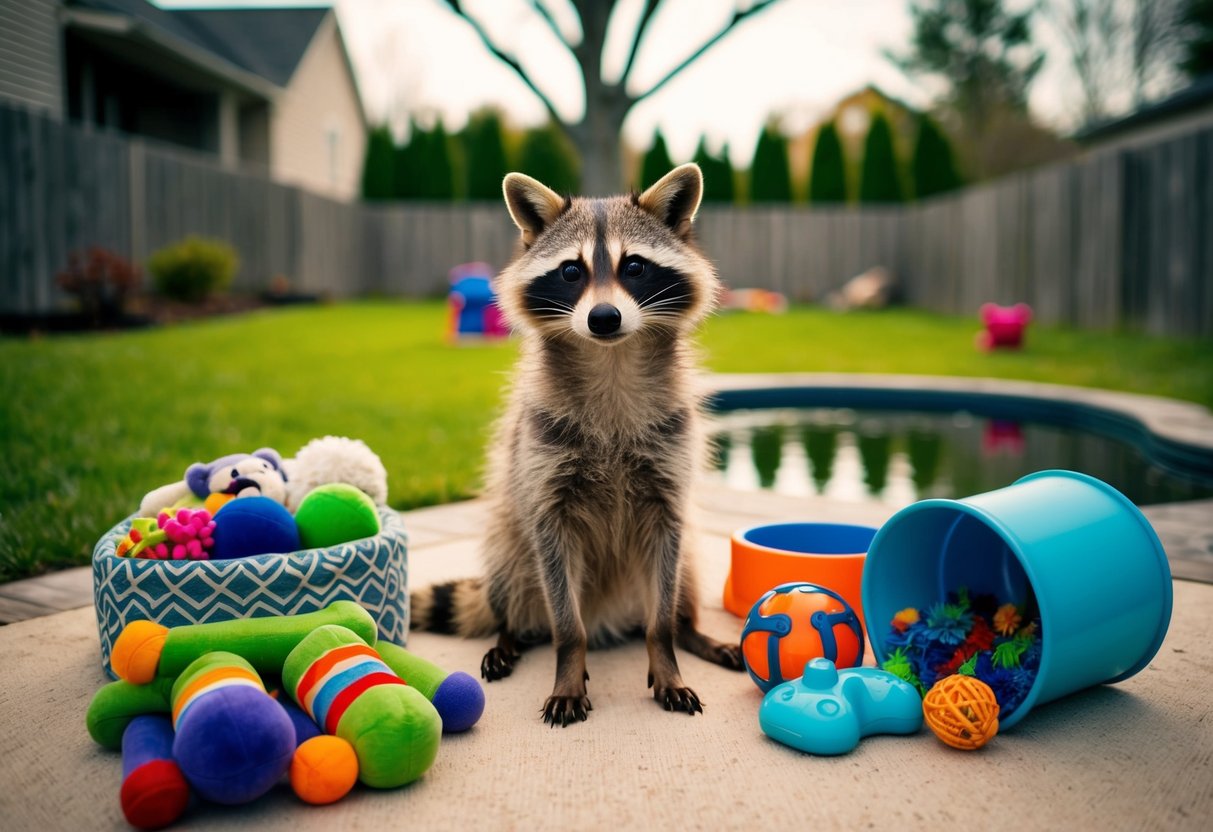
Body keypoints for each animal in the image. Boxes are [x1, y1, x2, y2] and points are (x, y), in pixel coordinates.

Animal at [410, 164, 743, 726]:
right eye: (571, 271)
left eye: (635, 266)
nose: (603, 318)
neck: (610, 361)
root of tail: (612, 619)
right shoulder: (544, 476)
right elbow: (566, 622)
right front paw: (569, 667)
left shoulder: (670, 476)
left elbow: (662, 608)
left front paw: (668, 659)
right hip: (511, 536)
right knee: (513, 573)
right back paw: (510, 634)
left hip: (682, 555)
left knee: (682, 579)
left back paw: (693, 631)